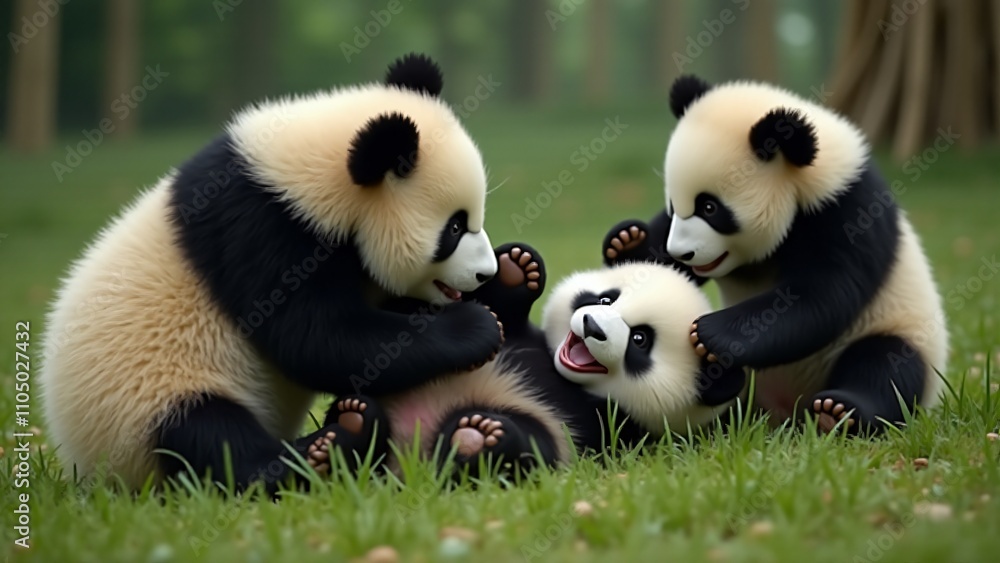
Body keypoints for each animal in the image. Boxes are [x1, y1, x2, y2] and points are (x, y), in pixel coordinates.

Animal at [39, 53, 506, 494]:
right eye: (454, 228)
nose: (486, 274)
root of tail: (89, 467)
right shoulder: (265, 232)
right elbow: (315, 338)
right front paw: (474, 327)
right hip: (145, 397)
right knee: (209, 434)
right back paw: (321, 450)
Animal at [312, 240, 745, 479]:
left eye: (640, 339)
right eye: (607, 299)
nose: (592, 326)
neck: (562, 374)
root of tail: (405, 462)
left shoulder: (613, 431)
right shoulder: (524, 338)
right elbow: (503, 316)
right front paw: (515, 270)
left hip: (535, 429)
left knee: (523, 447)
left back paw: (478, 436)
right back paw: (343, 432)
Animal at [606, 75, 949, 435]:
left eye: (710, 207)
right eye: (674, 205)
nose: (681, 252)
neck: (809, 181)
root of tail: (782, 412)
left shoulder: (847, 212)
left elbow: (821, 296)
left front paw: (711, 334)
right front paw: (627, 242)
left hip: (899, 329)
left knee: (886, 365)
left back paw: (839, 411)